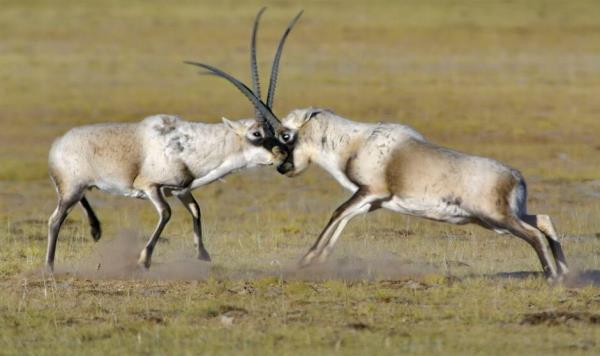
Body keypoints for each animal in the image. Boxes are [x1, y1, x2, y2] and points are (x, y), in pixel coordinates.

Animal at [44, 7, 302, 270]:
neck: (188, 145)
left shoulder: (180, 190)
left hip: (81, 188)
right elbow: (167, 213)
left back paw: (94, 230)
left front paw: (203, 254)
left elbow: (196, 210)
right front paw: (144, 258)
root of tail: (58, 144)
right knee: (55, 220)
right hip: (72, 189)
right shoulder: (150, 186)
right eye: (256, 133)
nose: (282, 154)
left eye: (275, 133)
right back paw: (50, 265)